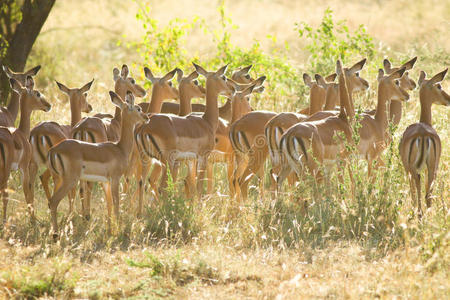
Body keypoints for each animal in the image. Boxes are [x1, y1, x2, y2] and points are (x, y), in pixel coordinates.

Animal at [0, 77, 51, 223]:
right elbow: (27, 192)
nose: (48, 105)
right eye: (37, 93)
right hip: (5, 172)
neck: (21, 133)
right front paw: (33, 220)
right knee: (4, 195)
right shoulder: (24, 168)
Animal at [46, 90, 147, 236]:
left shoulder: (105, 181)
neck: (119, 148)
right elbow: (116, 203)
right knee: (54, 202)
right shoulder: (115, 179)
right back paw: (56, 235)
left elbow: (109, 203)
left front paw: (110, 229)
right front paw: (118, 230)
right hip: (70, 180)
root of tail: (53, 150)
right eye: (138, 108)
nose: (146, 117)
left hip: (57, 178)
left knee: (51, 201)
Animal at [400, 69, 448, 217]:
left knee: (419, 194)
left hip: (416, 169)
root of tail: (423, 134)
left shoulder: (408, 169)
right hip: (431, 168)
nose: (448, 99)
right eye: (439, 86)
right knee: (427, 195)